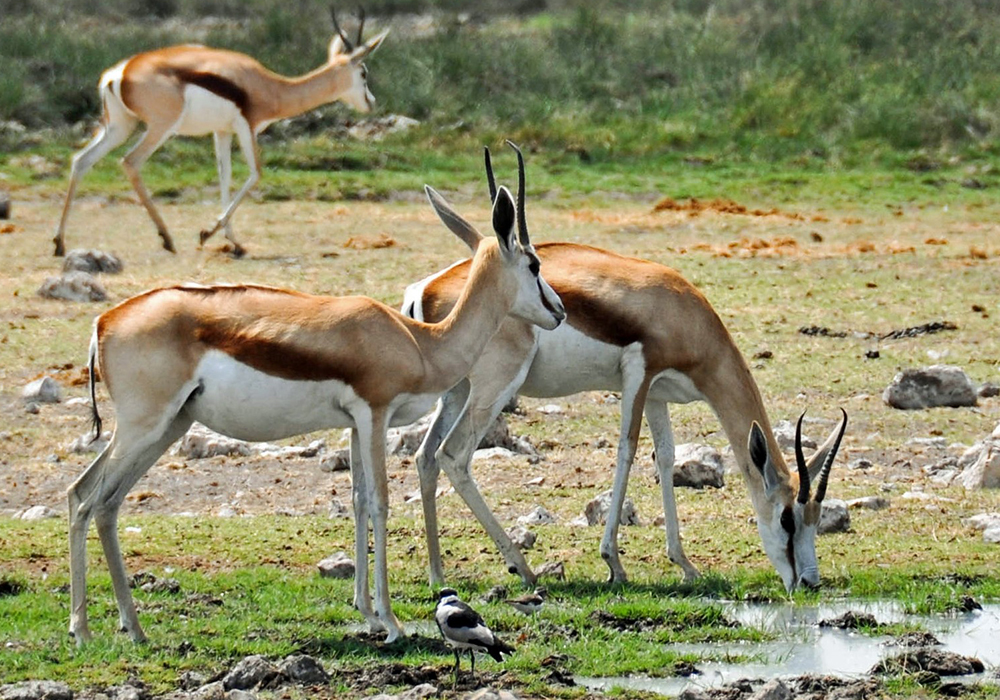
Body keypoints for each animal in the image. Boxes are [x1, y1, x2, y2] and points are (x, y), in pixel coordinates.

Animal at [51, 10, 386, 258]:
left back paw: (60, 243)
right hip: (159, 128)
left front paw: (233, 242)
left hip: (120, 127)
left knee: (81, 161)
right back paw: (167, 239)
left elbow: (224, 177)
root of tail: (118, 73)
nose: (371, 102)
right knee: (130, 162)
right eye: (363, 73)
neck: (270, 87)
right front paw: (207, 233)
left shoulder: (221, 131)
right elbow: (255, 174)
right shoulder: (246, 126)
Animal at [70, 182, 568, 644]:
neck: (420, 342)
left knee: (92, 497)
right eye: (534, 264)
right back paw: (92, 631)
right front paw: (392, 623)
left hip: (168, 427)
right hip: (144, 427)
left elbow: (359, 501)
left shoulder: (355, 424)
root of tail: (102, 324)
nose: (560, 311)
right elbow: (381, 502)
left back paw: (124, 629)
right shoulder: (374, 413)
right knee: (92, 500)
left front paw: (368, 614)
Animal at [402, 145, 848, 592]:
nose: (809, 581)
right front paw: (614, 562)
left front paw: (685, 563)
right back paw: (521, 567)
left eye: (814, 521)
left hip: (456, 389)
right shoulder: (639, 374)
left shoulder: (657, 393)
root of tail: (426, 289)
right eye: (787, 518)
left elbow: (665, 457)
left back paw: (438, 573)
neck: (684, 314)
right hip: (495, 386)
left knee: (426, 456)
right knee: (453, 455)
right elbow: (627, 450)